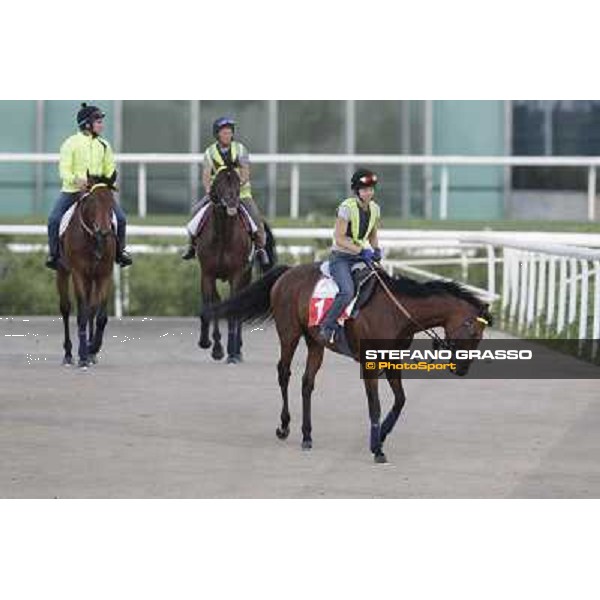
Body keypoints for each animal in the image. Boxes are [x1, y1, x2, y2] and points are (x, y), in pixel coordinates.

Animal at [57, 173, 119, 368]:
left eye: (111, 201)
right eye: (92, 201)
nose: (104, 231)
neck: (93, 239)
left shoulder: (105, 274)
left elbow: (100, 315)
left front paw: (93, 348)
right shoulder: (79, 274)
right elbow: (81, 314)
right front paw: (83, 355)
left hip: (93, 278)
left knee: (92, 309)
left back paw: (91, 353)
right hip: (63, 272)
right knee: (66, 308)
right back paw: (69, 353)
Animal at [195, 165, 276, 366]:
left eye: (238, 182)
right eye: (219, 181)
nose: (232, 203)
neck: (223, 235)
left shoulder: (237, 275)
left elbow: (233, 310)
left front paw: (232, 353)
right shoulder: (207, 274)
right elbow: (210, 305)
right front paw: (210, 345)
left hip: (246, 275)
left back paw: (237, 350)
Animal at [202, 262, 492, 464]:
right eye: (473, 333)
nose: (462, 369)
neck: (396, 311)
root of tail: (287, 272)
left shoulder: (392, 361)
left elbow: (400, 400)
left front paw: (381, 435)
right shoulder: (370, 364)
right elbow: (375, 405)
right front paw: (377, 448)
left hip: (315, 342)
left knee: (307, 383)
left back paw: (307, 435)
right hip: (289, 333)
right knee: (284, 374)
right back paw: (284, 427)